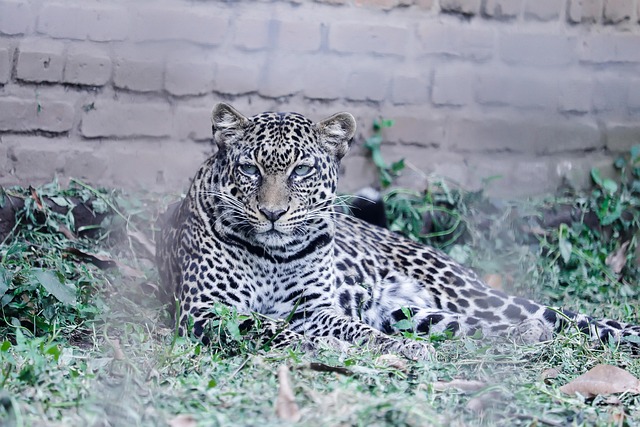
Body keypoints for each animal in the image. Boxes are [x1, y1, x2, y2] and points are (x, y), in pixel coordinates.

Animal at [156, 102, 640, 359]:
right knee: (480, 326)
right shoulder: (205, 310)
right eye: (250, 169)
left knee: (567, 316)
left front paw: (385, 350)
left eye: (302, 171)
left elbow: (354, 330)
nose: (272, 213)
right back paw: (527, 336)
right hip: (415, 312)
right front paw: (326, 349)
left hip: (466, 292)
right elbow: (271, 328)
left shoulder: (316, 309)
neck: (273, 255)